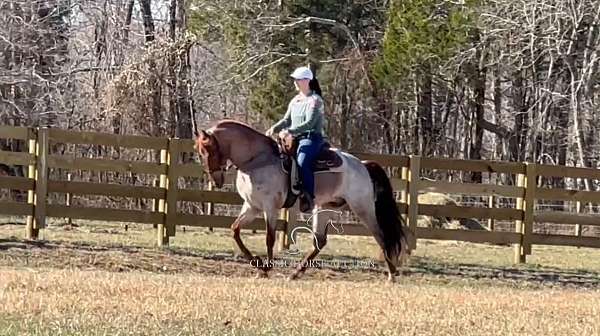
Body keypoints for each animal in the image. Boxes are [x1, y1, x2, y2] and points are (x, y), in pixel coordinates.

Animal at [195, 119, 410, 282]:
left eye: (209, 149)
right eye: (200, 152)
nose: (215, 179)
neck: (257, 160)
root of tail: (363, 165)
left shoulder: (269, 207)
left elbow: (269, 238)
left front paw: (266, 267)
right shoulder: (251, 207)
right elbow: (235, 230)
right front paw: (258, 265)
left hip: (363, 209)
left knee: (381, 236)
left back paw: (391, 275)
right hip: (325, 208)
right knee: (320, 241)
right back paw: (296, 273)